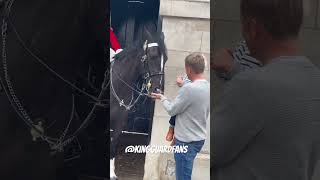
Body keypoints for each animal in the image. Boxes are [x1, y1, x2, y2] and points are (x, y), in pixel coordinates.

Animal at [109, 21, 166, 179]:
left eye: (165, 59)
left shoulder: (120, 121)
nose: (157, 90)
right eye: (152, 56)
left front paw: (112, 173)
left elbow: (113, 144)